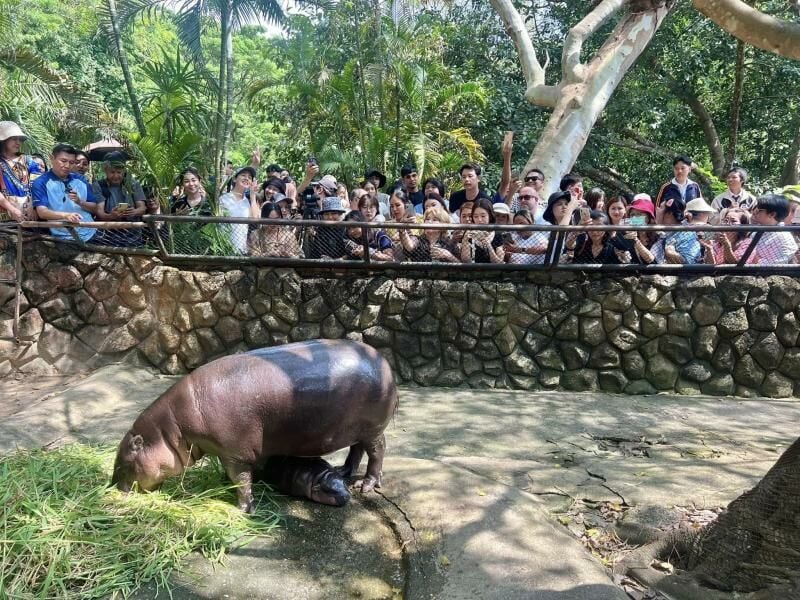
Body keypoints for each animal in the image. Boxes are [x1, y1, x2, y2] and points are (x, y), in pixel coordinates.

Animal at [111, 340, 398, 512]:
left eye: (123, 462)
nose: (112, 488)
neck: (171, 431)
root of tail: (385, 362)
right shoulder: (229, 452)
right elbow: (235, 476)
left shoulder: (235, 454)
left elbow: (241, 481)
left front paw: (242, 509)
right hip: (356, 429)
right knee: (356, 449)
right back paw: (344, 471)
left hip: (373, 429)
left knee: (378, 451)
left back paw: (367, 485)